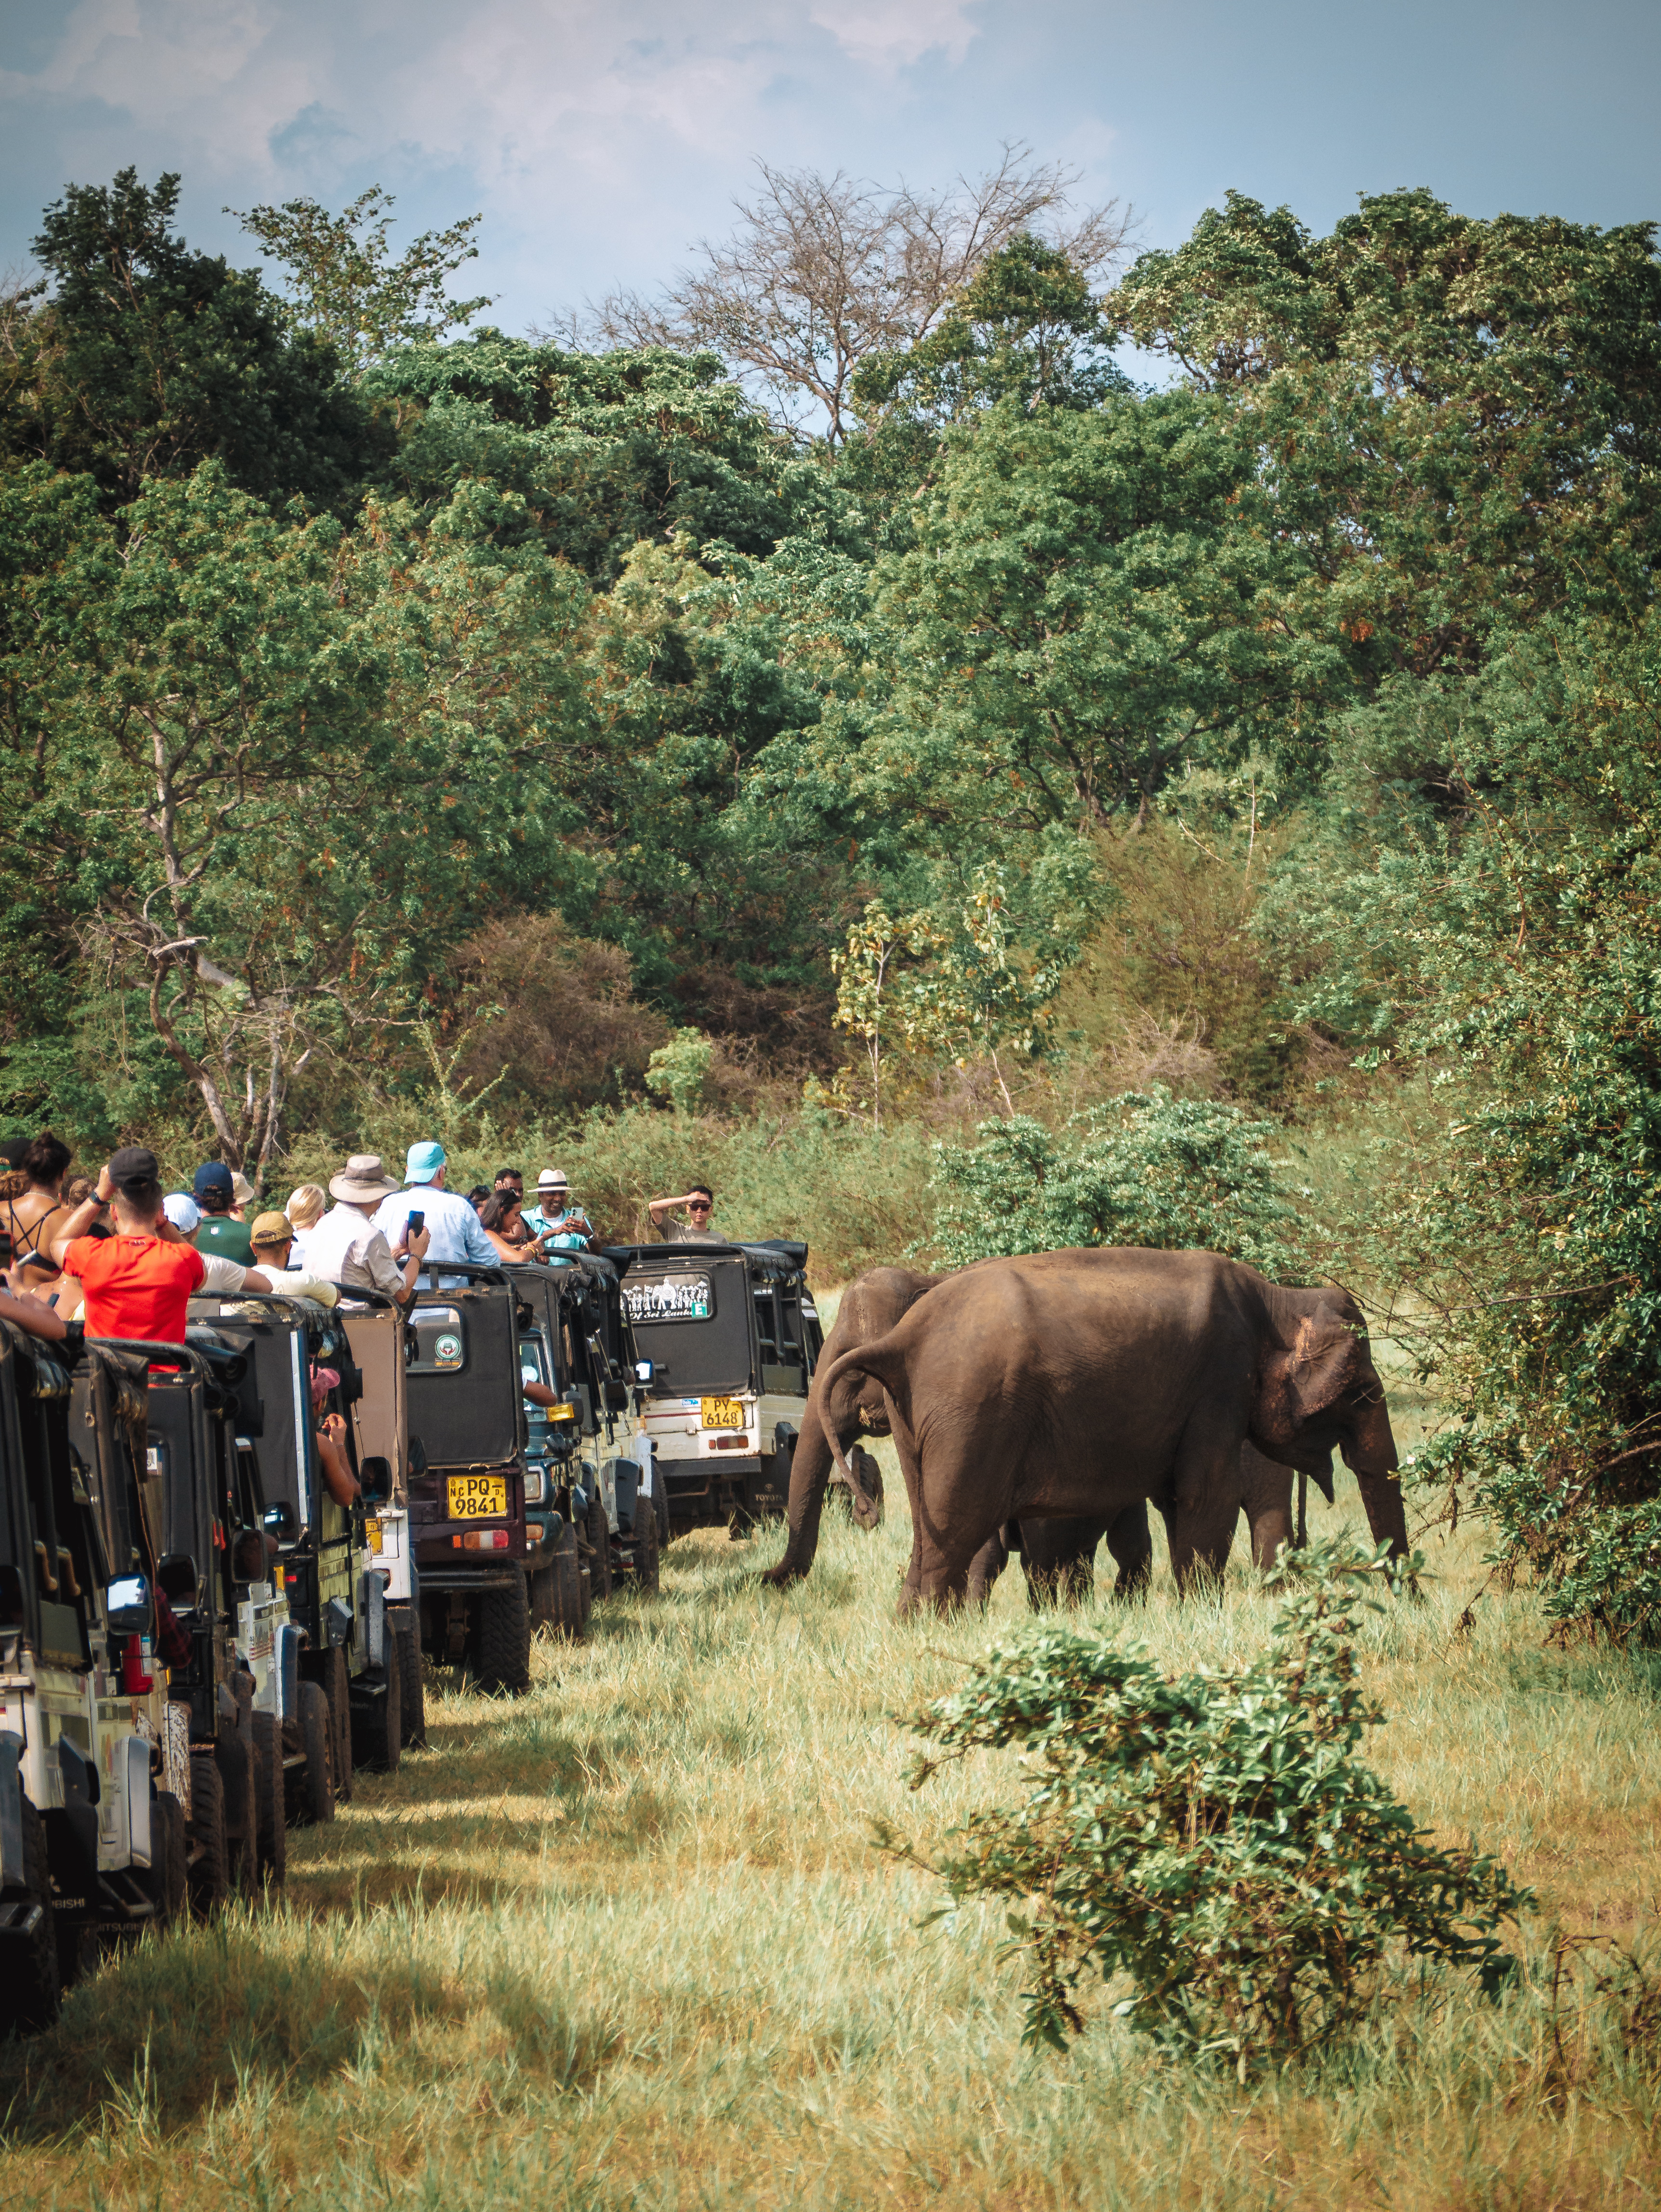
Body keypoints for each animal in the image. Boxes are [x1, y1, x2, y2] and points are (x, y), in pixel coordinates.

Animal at [814, 1256, 1407, 1619]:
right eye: (1361, 1395)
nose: (1412, 1599)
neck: (1280, 1298)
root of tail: (902, 1340)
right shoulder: (1219, 1386)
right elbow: (1204, 1497)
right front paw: (1202, 1614)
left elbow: (1179, 1501)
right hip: (971, 1414)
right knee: (953, 1530)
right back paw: (936, 1628)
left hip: (924, 1416)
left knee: (927, 1524)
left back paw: (914, 1626)